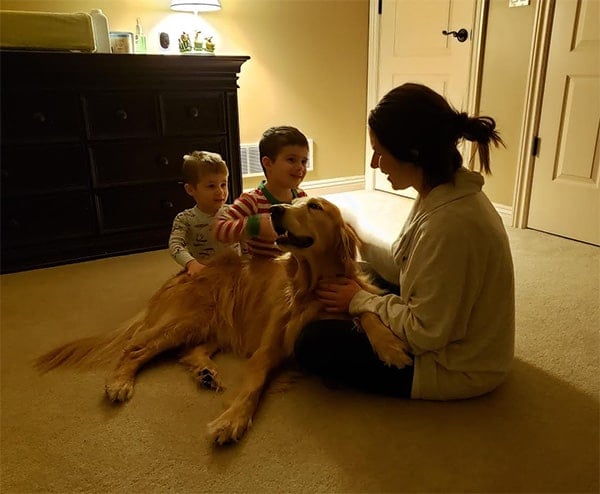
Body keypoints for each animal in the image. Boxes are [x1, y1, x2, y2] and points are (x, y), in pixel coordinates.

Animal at [35, 197, 412, 444]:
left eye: (315, 207)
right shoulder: (268, 348)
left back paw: (204, 372)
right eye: (296, 201)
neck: (310, 286)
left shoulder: (343, 298)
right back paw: (119, 382)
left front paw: (390, 346)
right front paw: (232, 420)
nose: (275, 210)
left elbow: (366, 309)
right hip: (186, 320)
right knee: (135, 348)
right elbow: (253, 385)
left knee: (188, 352)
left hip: (214, 327)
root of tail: (185, 271)